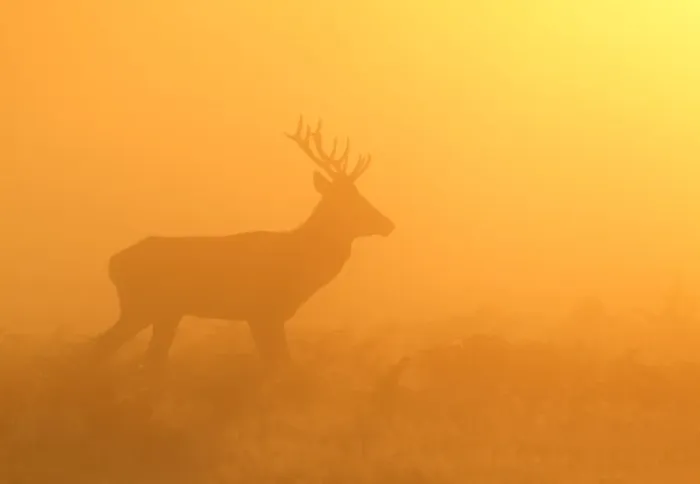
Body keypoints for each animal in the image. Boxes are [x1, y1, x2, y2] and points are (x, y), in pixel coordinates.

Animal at [89, 116, 395, 380]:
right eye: (350, 199)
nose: (388, 224)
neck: (298, 263)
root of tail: (112, 263)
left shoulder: (263, 316)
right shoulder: (263, 311)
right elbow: (280, 365)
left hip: (166, 312)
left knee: (148, 358)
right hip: (141, 305)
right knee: (101, 347)